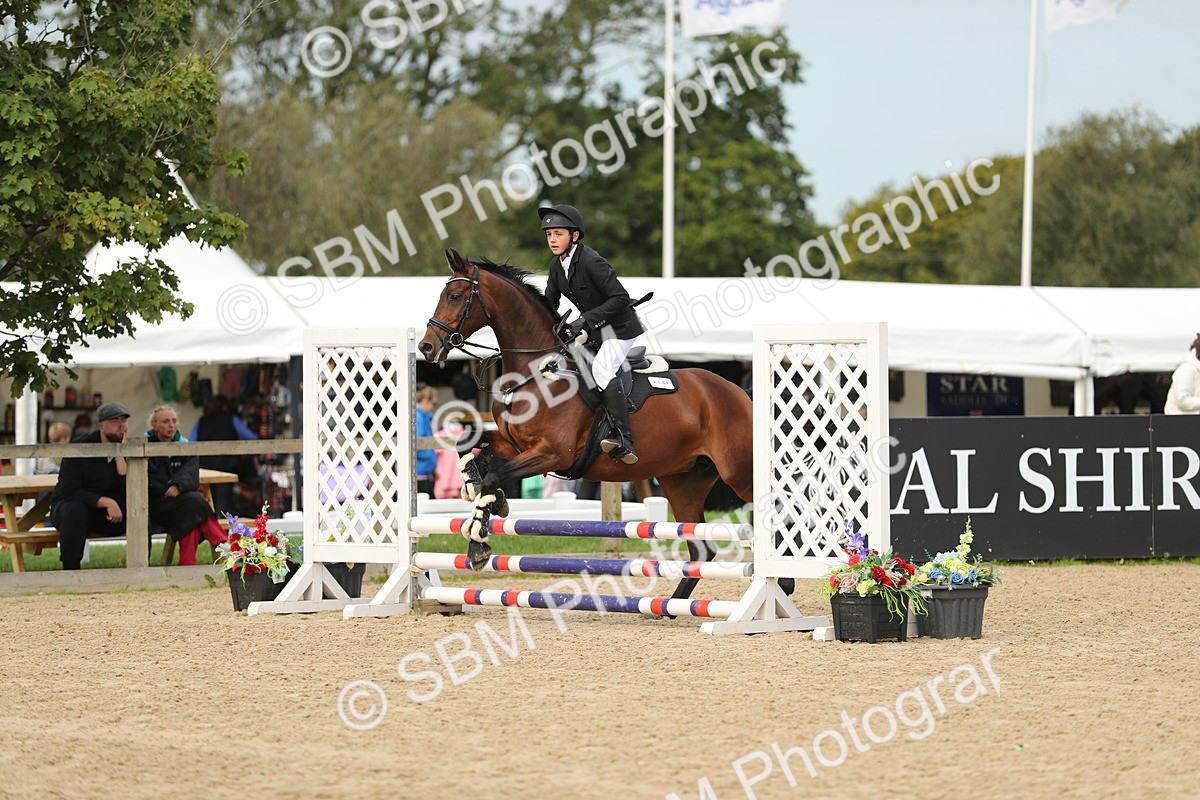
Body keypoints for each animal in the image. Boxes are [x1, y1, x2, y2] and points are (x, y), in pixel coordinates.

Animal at [418, 249, 755, 602]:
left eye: (455, 296)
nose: (427, 347)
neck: (536, 372)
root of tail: (739, 393)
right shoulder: (515, 445)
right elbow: (469, 445)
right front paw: (481, 495)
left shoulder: (553, 454)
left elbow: (496, 473)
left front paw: (481, 536)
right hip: (683, 482)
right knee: (701, 550)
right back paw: (670, 606)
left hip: (739, 472)